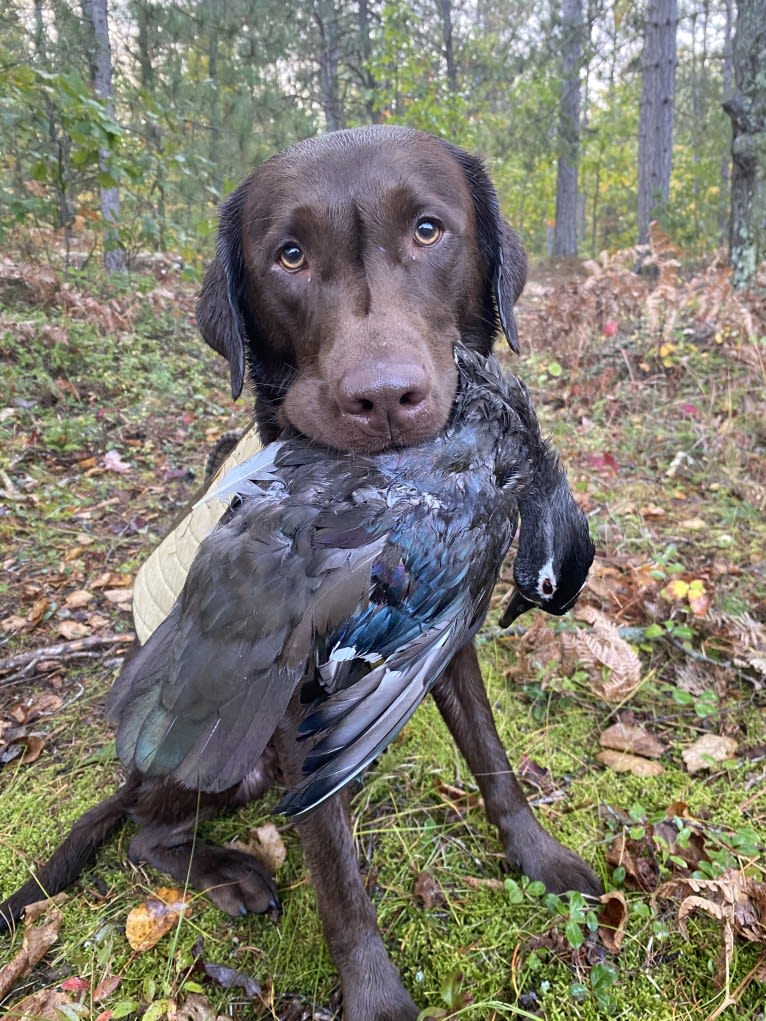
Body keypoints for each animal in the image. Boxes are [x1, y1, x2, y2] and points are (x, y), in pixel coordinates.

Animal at [3, 127, 604, 1021]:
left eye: (429, 230)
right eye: (289, 255)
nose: (385, 396)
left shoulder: (451, 640)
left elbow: (493, 759)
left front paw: (539, 856)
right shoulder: (332, 681)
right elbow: (335, 868)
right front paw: (376, 997)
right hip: (239, 757)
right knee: (148, 831)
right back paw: (233, 872)